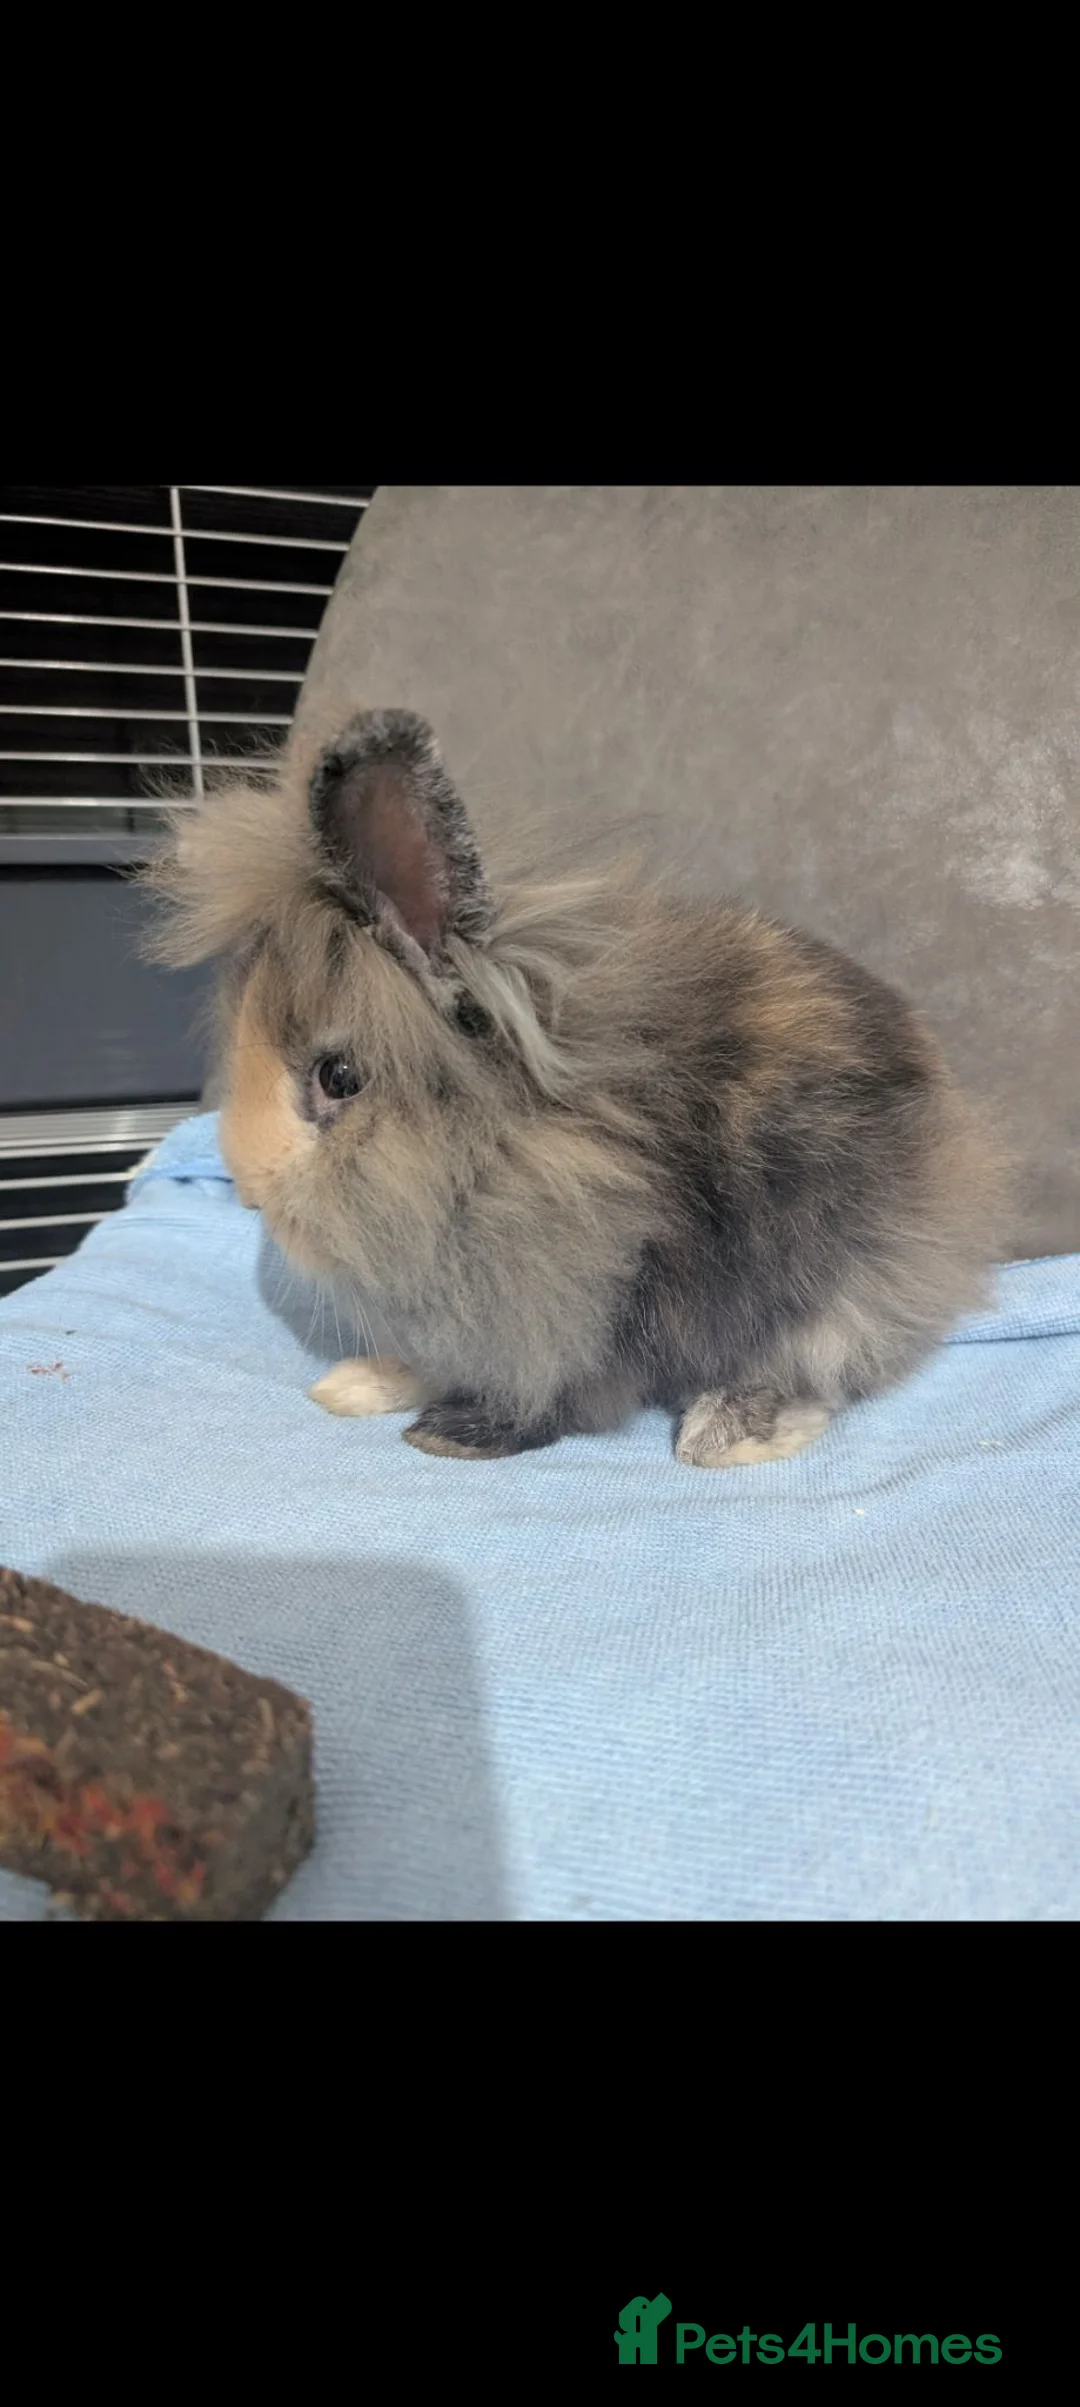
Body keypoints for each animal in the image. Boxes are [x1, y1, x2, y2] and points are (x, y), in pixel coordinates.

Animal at [144, 709, 1008, 1465]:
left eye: (339, 1077)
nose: (251, 1192)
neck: (502, 1147)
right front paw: (359, 1383)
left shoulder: (575, 1298)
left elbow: (551, 1383)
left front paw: (455, 1434)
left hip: (836, 1277)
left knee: (816, 1364)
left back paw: (723, 1436)